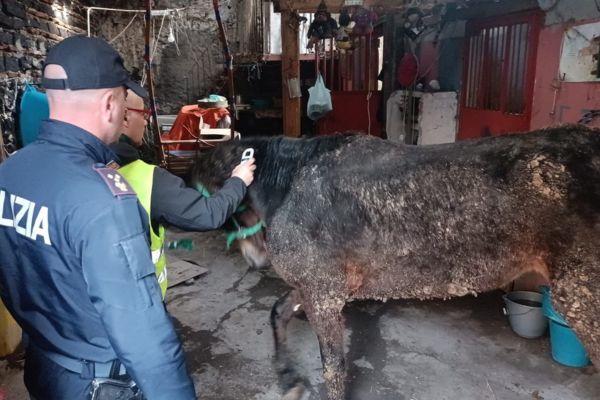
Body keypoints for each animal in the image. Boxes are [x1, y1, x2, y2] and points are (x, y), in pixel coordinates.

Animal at [191, 128, 600, 400]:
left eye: (213, 194)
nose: (254, 259)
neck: (293, 181)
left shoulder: (323, 295)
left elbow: (333, 368)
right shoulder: (315, 289)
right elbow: (277, 314)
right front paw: (289, 380)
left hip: (582, 301)